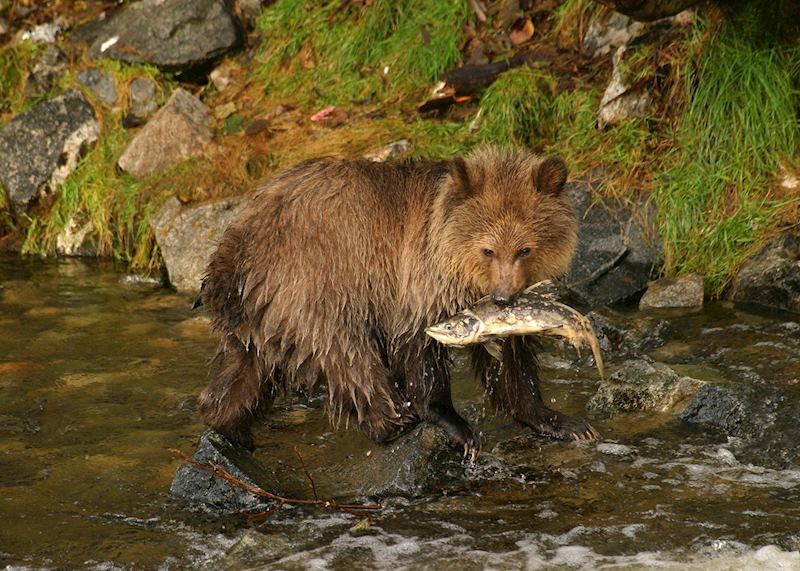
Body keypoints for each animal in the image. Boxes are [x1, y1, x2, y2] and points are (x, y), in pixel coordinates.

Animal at [197, 145, 598, 458]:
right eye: (488, 249)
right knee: (345, 349)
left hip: (262, 308)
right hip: (311, 279)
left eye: (525, 249)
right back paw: (392, 419)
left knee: (246, 370)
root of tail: (236, 238)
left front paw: (563, 422)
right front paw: (454, 425)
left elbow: (511, 362)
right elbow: (418, 344)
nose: (503, 297)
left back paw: (229, 425)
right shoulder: (422, 275)